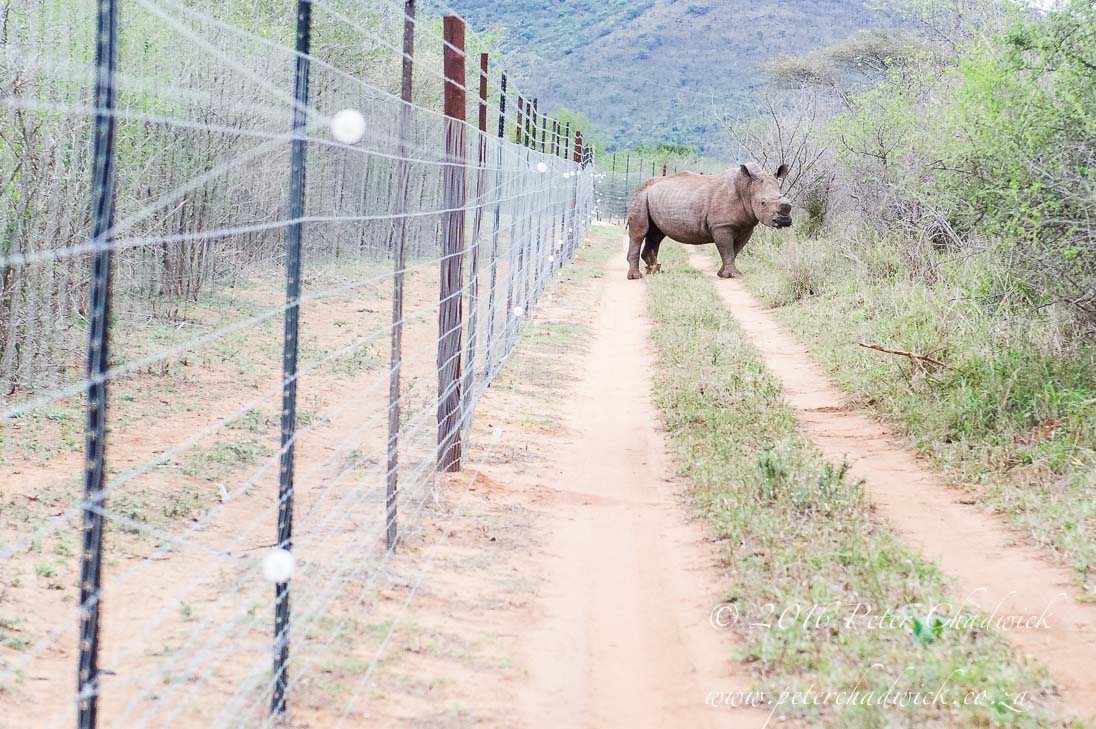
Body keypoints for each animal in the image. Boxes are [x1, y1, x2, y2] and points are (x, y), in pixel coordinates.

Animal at [625, 163, 792, 279]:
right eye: (763, 203)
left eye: (785, 197)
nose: (784, 221)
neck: (747, 187)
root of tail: (642, 186)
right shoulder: (722, 226)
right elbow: (727, 249)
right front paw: (733, 276)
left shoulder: (747, 226)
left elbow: (734, 250)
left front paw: (724, 274)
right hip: (640, 196)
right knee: (640, 233)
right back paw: (636, 277)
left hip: (654, 197)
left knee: (656, 234)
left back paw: (655, 270)